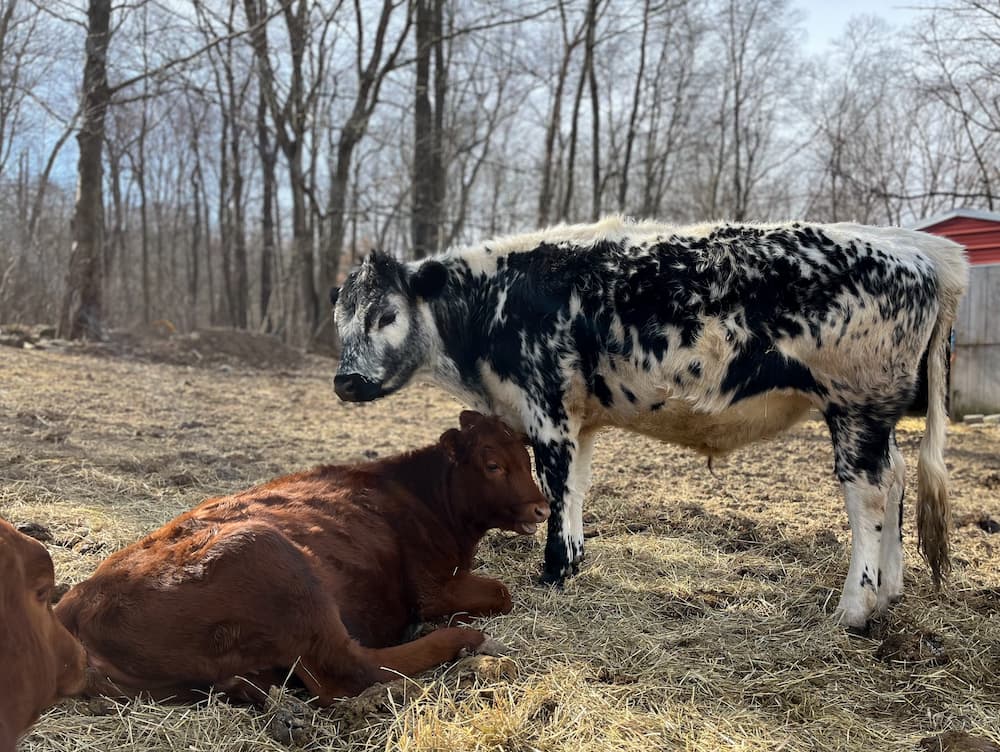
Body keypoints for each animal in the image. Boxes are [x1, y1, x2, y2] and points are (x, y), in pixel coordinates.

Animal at [55, 411, 549, 705]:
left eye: (527, 460)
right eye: (492, 464)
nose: (541, 508)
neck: (420, 496)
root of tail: (74, 611)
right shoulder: (433, 586)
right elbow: (501, 592)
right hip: (275, 560)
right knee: (351, 672)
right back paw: (466, 640)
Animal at [329, 215, 969, 632]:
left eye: (385, 315)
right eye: (340, 318)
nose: (345, 381)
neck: (494, 301)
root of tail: (918, 246)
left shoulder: (547, 410)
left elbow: (556, 490)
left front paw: (552, 573)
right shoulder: (579, 421)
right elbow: (577, 490)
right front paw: (573, 564)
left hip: (855, 405)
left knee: (869, 494)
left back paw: (855, 609)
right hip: (876, 415)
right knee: (898, 478)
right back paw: (891, 591)